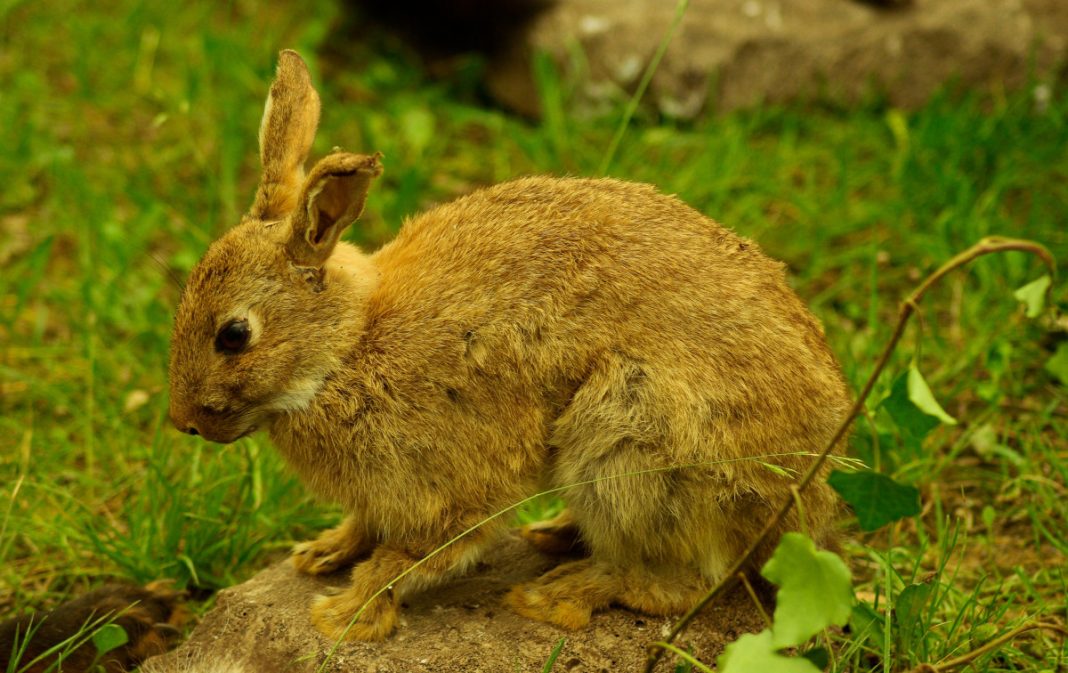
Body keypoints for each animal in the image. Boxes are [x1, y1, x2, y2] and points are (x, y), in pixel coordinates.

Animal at [166, 48, 850, 645]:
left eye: (234, 335)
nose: (183, 423)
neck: (348, 346)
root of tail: (804, 497)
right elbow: (368, 525)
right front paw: (322, 552)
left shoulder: (453, 484)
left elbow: (411, 556)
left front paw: (345, 616)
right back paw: (555, 537)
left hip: (633, 437)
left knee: (679, 580)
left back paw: (556, 593)